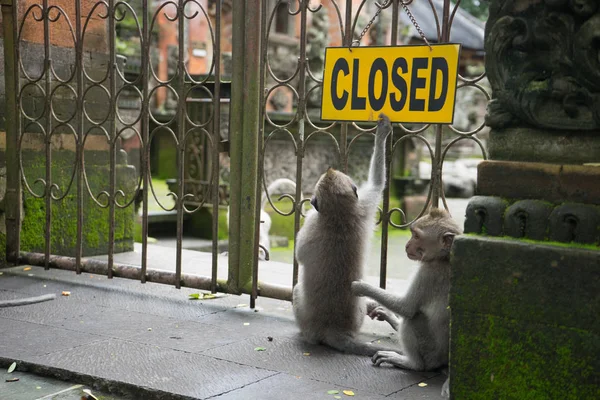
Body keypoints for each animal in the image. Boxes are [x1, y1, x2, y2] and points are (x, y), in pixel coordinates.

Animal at [292, 113, 394, 356]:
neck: (339, 216)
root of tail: (334, 330)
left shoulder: (312, 224)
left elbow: (299, 253)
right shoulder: (363, 208)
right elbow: (378, 183)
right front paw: (383, 132)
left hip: (307, 320)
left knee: (296, 291)